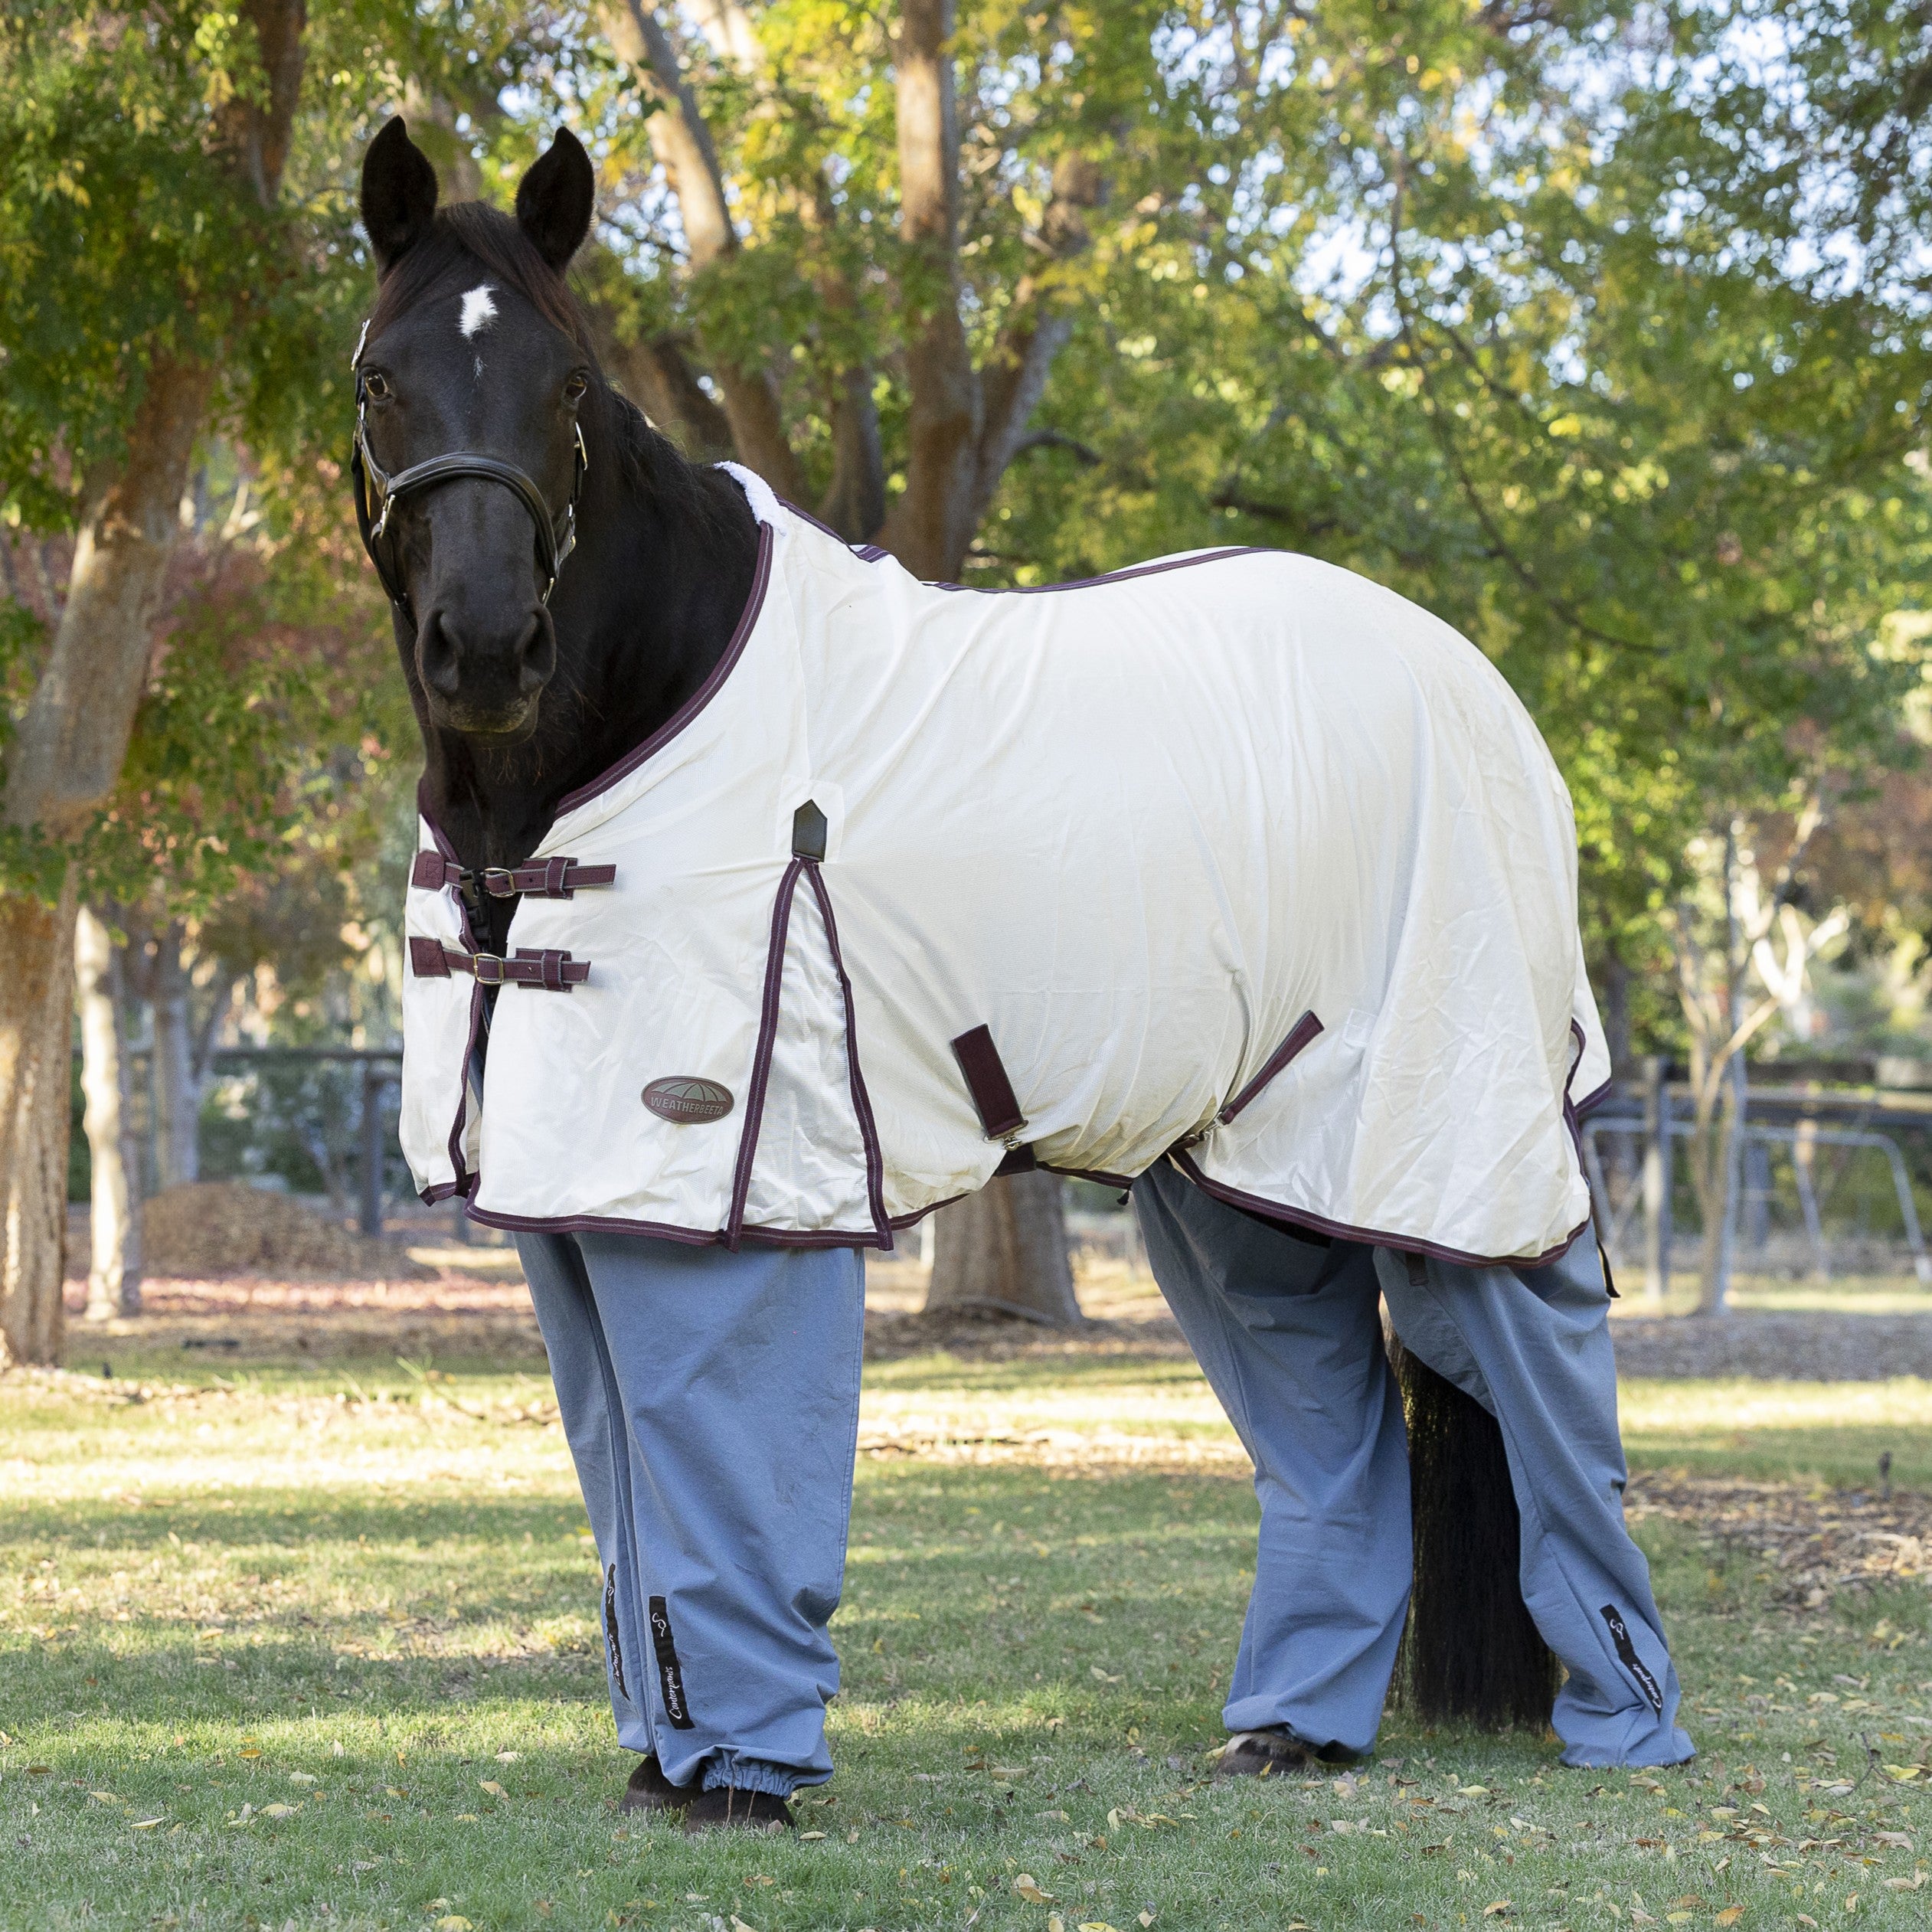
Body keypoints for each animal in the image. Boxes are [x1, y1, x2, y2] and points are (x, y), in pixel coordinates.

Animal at [352, 117, 1690, 1826]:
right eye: (381, 378)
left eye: (570, 385)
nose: (483, 649)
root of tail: (1469, 677)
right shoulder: (572, 1213)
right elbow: (623, 1485)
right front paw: (666, 1766)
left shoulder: (724, 1199)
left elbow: (724, 1458)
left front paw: (742, 1776)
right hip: (1241, 1176)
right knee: (1333, 1418)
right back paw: (1293, 1727)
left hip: (1448, 1129)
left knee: (1539, 1383)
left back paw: (1625, 1722)